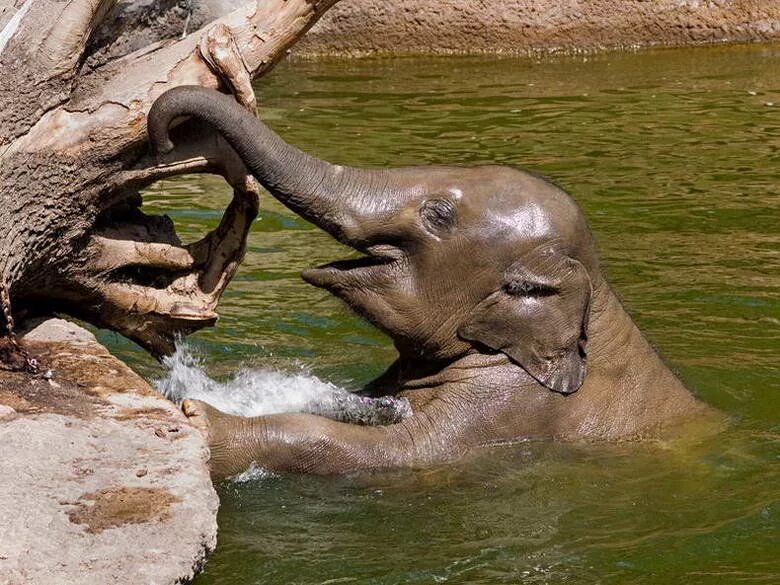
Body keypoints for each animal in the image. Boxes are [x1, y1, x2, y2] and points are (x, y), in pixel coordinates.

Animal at [148, 86, 712, 480]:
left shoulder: (514, 408)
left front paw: (203, 419)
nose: (165, 138)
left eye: (438, 215)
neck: (598, 293)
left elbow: (402, 453)